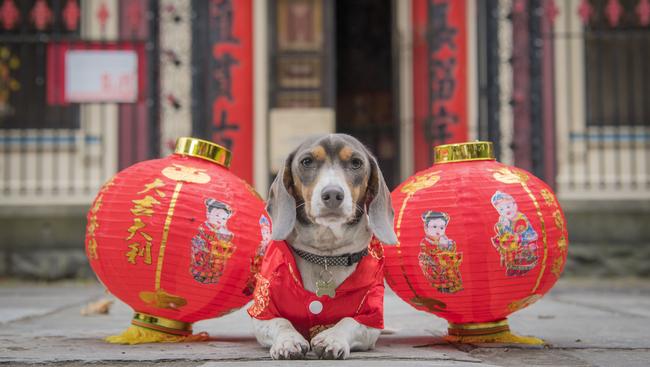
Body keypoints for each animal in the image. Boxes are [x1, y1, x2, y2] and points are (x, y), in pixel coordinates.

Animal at [246, 134, 394, 360]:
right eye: (306, 161)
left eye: (356, 163)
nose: (332, 194)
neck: (325, 255)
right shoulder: (263, 311)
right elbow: (281, 322)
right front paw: (288, 341)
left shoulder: (370, 317)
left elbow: (349, 321)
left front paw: (332, 338)